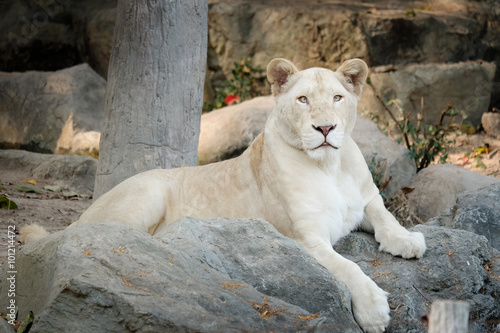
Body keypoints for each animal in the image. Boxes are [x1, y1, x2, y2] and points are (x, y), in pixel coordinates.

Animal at [21, 58, 424, 330]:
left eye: (338, 98)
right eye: (304, 100)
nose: (325, 128)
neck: (329, 166)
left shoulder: (368, 198)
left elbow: (386, 215)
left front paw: (408, 241)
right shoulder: (305, 239)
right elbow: (349, 267)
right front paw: (373, 310)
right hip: (147, 191)